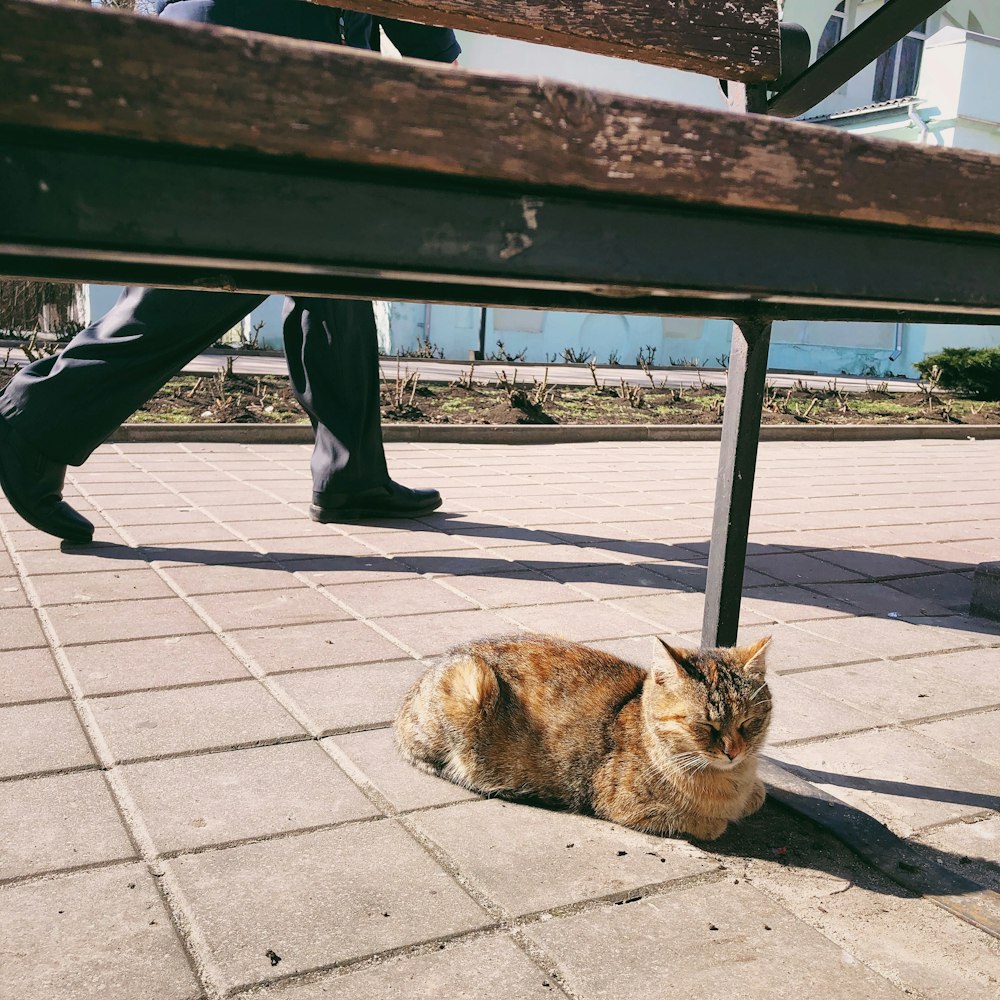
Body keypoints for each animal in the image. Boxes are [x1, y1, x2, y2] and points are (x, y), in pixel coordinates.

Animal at [392, 636, 772, 840]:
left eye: (750, 722)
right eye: (705, 726)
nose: (734, 751)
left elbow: (760, 795)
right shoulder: (620, 804)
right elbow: (709, 823)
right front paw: (718, 820)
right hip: (469, 684)